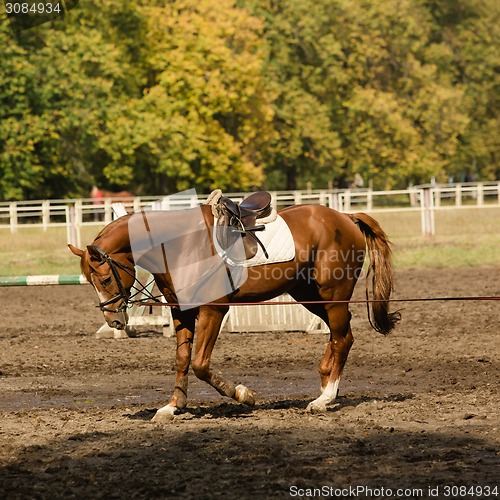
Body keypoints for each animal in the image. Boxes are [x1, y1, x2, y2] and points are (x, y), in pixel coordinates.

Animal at [68, 203, 400, 422]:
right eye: (90, 281)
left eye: (105, 279)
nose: (114, 320)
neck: (179, 246)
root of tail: (344, 217)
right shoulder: (181, 314)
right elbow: (182, 359)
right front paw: (173, 406)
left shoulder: (213, 310)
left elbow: (200, 364)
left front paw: (243, 394)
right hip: (309, 296)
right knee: (339, 335)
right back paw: (325, 383)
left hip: (332, 297)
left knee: (343, 338)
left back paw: (324, 398)